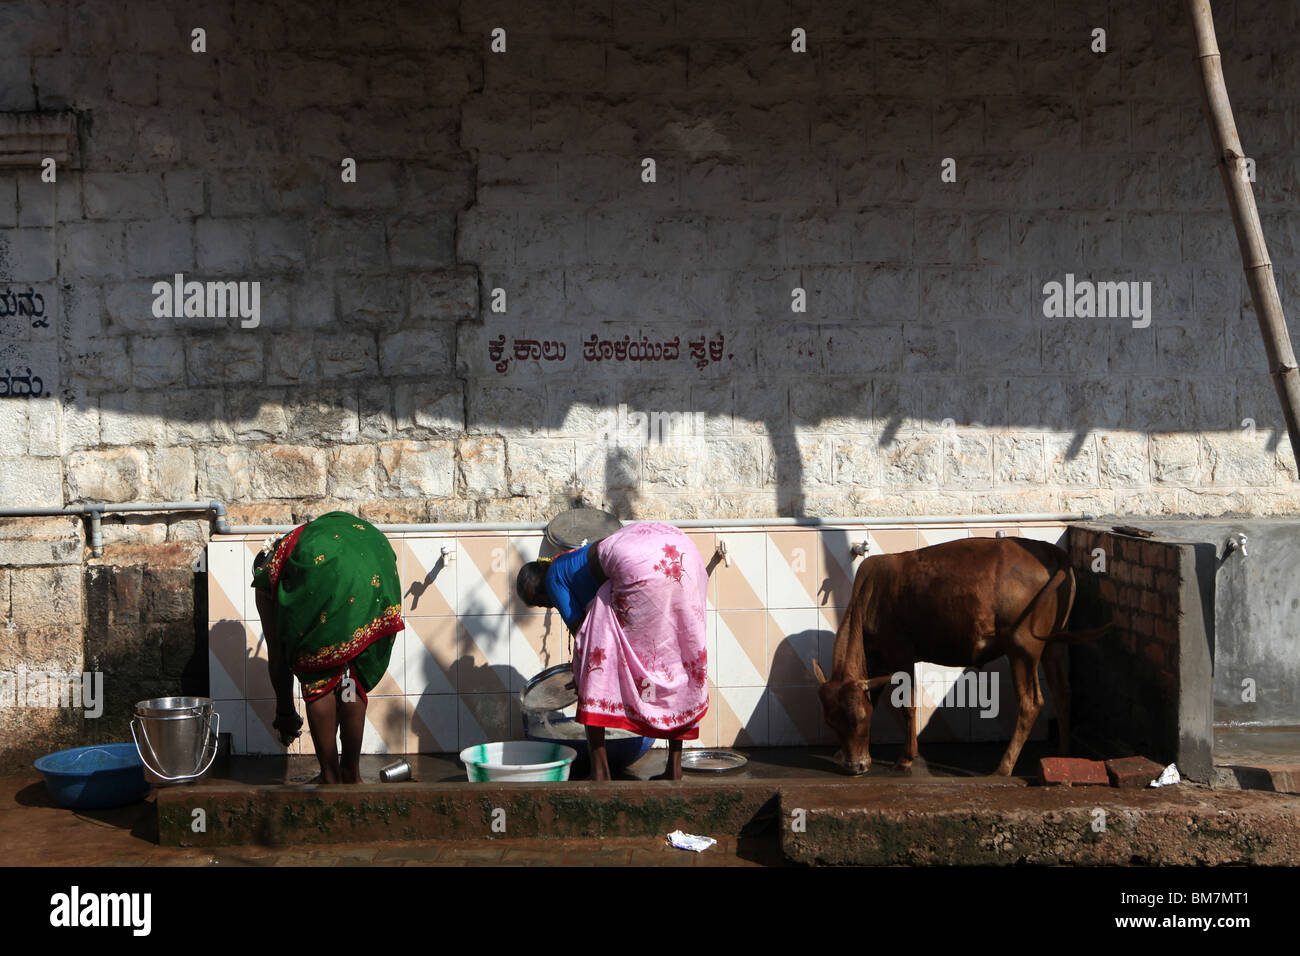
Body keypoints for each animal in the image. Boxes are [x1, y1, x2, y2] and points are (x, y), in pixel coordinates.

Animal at [811, 538, 1097, 780]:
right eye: (830, 722)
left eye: (859, 718)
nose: (855, 767)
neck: (868, 599)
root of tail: (1049, 550)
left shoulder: (901, 654)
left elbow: (907, 705)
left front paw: (905, 759)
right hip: (1054, 644)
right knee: (1062, 693)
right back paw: (1063, 756)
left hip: (1022, 646)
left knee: (1031, 703)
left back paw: (1003, 768)